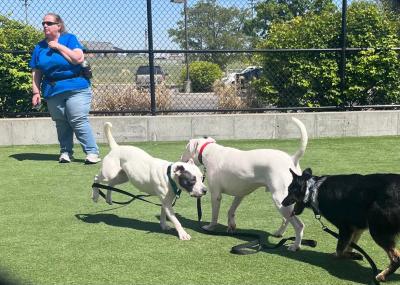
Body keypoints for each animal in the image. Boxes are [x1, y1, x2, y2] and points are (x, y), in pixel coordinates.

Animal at [181, 116, 310, 250]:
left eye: (185, 148)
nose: (180, 159)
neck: (209, 151)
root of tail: (291, 159)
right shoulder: (240, 194)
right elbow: (231, 210)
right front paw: (231, 226)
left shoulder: (216, 195)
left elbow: (215, 215)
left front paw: (210, 227)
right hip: (284, 202)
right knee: (287, 219)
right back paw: (279, 233)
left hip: (279, 199)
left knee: (299, 225)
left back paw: (295, 246)